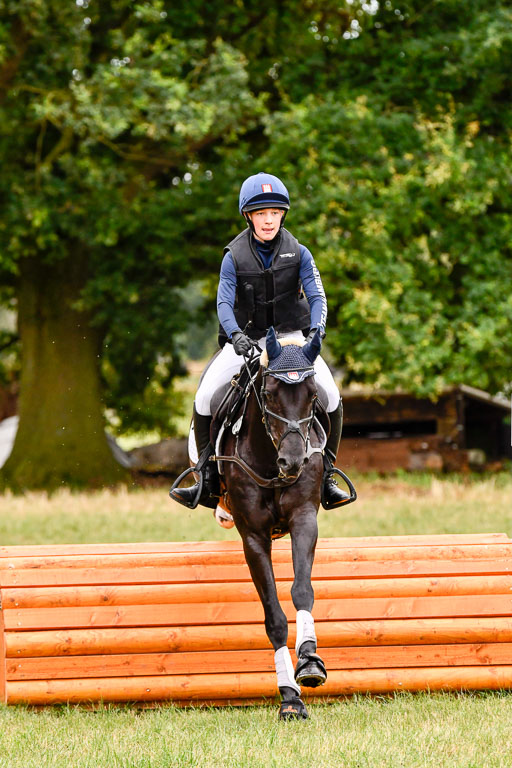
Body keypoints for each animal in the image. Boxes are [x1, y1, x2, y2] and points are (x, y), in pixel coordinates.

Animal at [210, 328, 354, 720]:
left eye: (313, 396)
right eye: (270, 394)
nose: (293, 462)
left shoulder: (304, 519)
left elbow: (302, 590)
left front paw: (310, 662)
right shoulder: (254, 537)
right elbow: (273, 616)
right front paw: (290, 697)